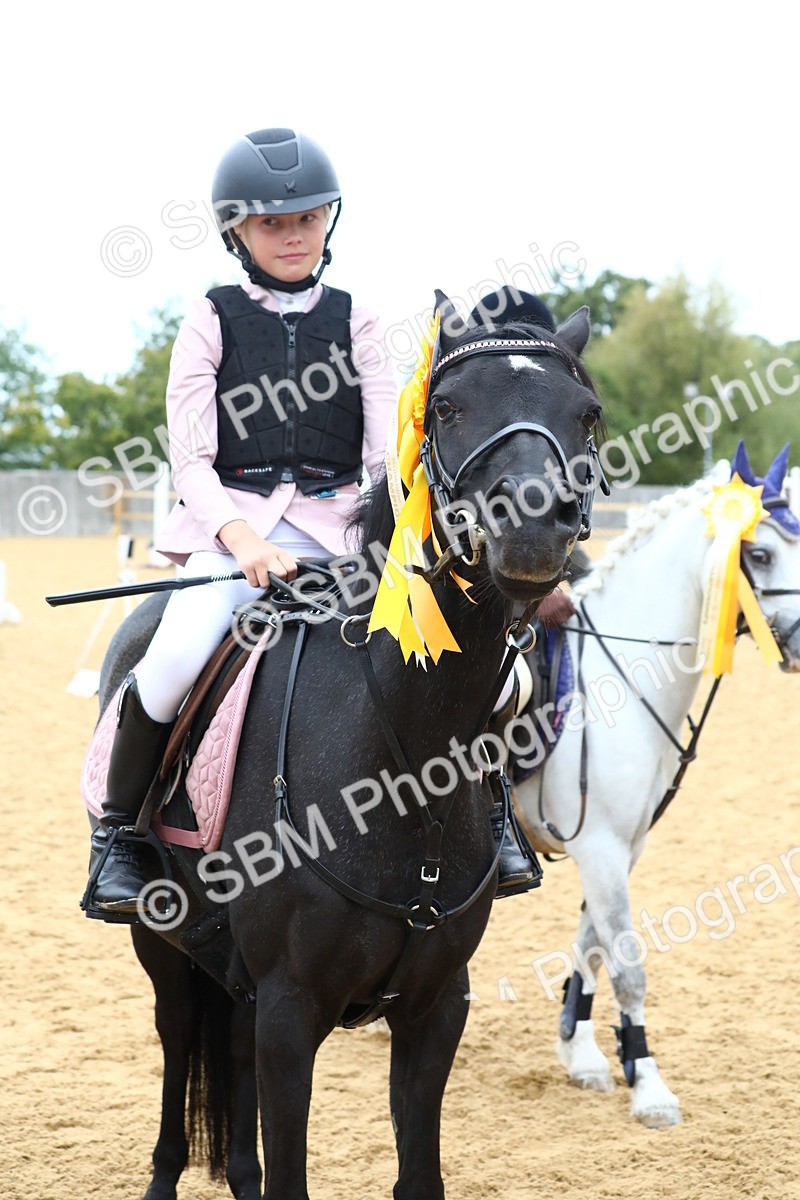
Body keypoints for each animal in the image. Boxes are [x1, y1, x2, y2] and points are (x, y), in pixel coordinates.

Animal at [91, 291, 605, 1199]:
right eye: (446, 407)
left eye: (586, 414)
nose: (533, 529)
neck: (406, 765)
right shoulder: (292, 1009)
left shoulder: (435, 1005)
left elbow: (418, 1173)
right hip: (161, 943)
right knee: (177, 1044)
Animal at [510, 442, 800, 1129]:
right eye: (759, 554)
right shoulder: (601, 848)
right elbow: (628, 966)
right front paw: (649, 1085)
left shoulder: (624, 847)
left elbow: (592, 947)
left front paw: (584, 1052)